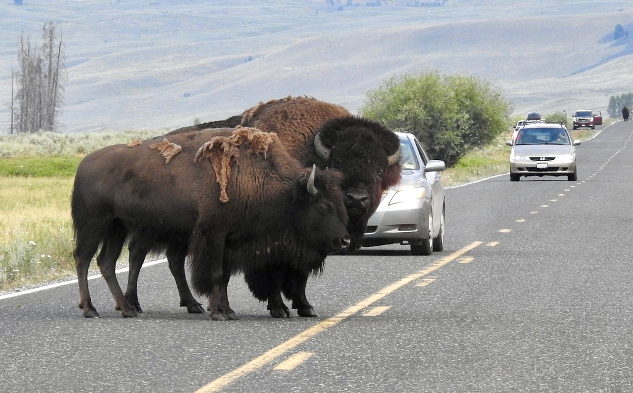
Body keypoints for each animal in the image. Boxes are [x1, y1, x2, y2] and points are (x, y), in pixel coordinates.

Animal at [75, 126, 350, 318]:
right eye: (324, 206)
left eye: (341, 204)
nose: (345, 240)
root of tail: (83, 164)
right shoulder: (215, 236)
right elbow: (216, 275)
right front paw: (219, 313)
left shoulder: (230, 241)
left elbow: (224, 277)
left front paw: (228, 311)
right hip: (93, 226)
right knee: (84, 259)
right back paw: (91, 309)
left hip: (117, 228)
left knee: (107, 262)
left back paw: (127, 309)